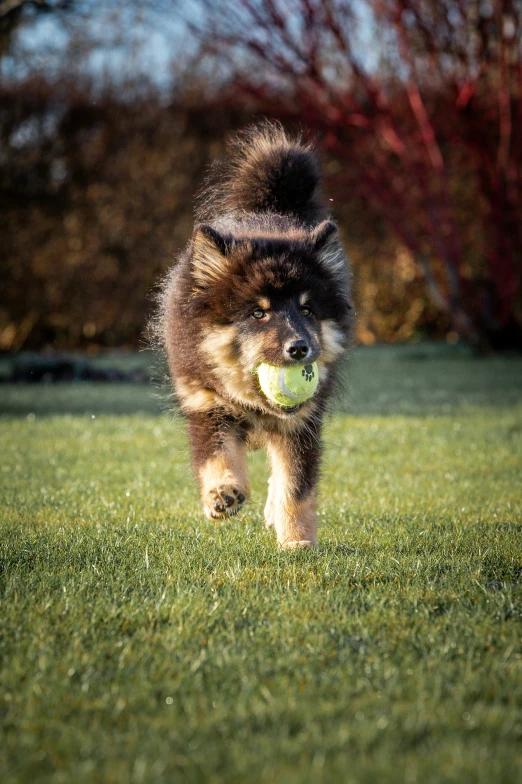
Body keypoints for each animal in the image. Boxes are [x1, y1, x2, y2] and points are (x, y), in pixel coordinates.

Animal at [158, 124, 352, 552]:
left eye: (307, 310)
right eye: (258, 313)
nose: (300, 348)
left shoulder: (302, 425)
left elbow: (296, 486)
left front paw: (297, 541)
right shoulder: (206, 405)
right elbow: (217, 456)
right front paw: (222, 494)